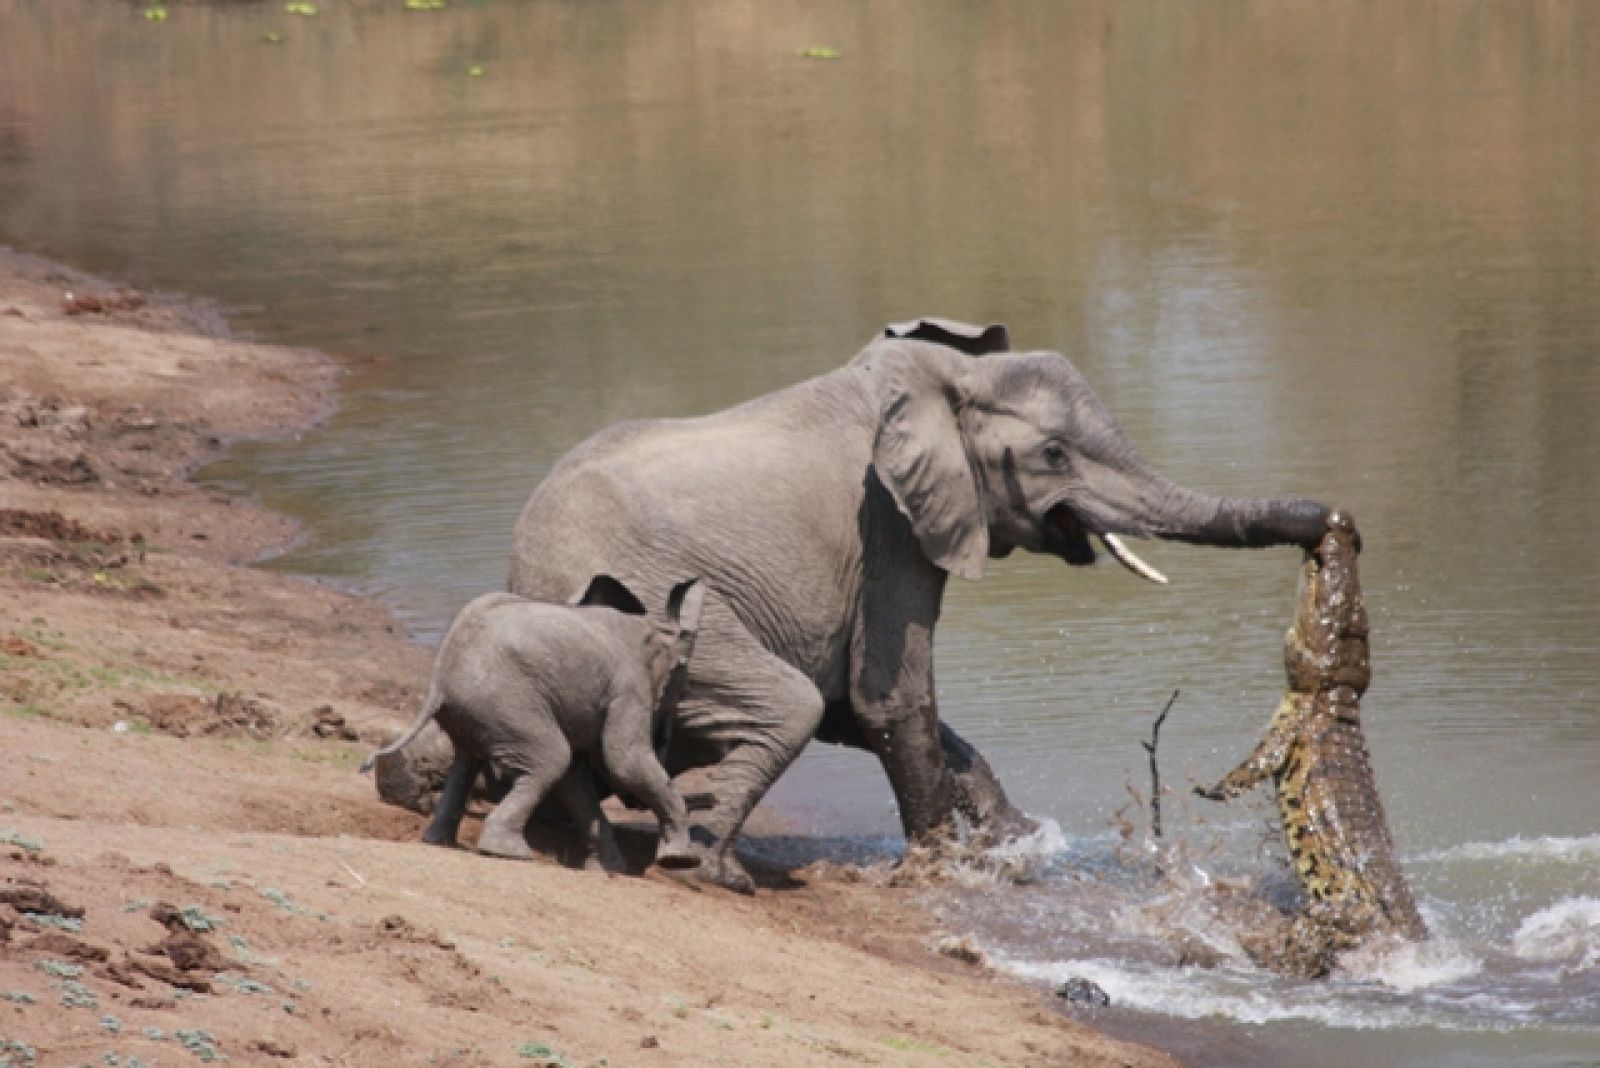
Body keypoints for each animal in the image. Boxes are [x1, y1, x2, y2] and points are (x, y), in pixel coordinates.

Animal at [371, 575, 710, 869]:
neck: (654, 626)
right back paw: (508, 853)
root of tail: (439, 676)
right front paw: (681, 860)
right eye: (679, 688)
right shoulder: (628, 689)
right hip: (507, 702)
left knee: (467, 763)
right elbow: (624, 762)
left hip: (476, 710)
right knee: (551, 758)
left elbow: (576, 779)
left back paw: (439, 841)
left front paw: (610, 869)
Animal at [508, 321, 1324, 888]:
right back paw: (716, 872)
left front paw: (1017, 842)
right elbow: (888, 698)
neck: (941, 378)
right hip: (651, 609)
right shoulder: (890, 527)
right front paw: (944, 870)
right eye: (1054, 455)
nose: (1330, 523)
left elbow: (863, 708)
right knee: (788, 705)